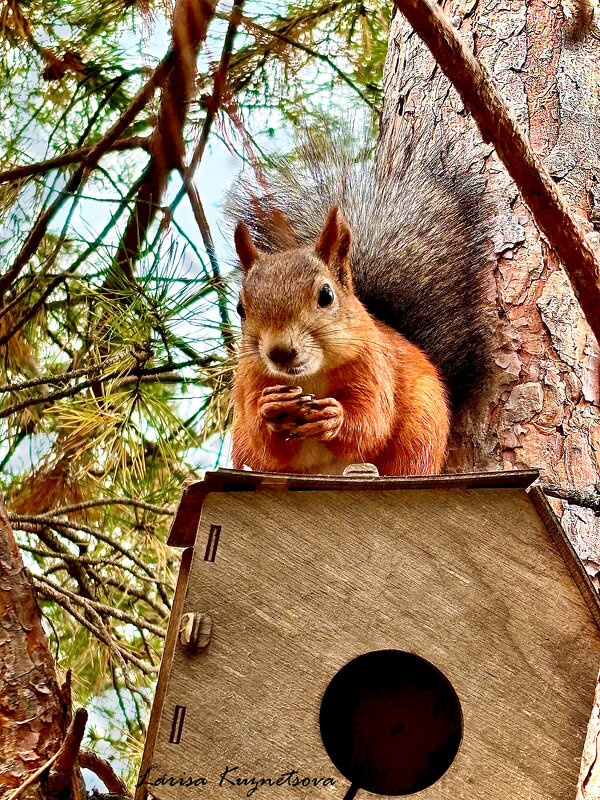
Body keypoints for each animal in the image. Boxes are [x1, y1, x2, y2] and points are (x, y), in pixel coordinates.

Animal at [227, 130, 490, 476]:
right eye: (240, 309)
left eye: (326, 295)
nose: (280, 352)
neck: (308, 378)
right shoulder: (250, 380)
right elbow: (265, 444)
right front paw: (271, 408)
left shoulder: (374, 368)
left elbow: (371, 423)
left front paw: (334, 418)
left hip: (422, 432)